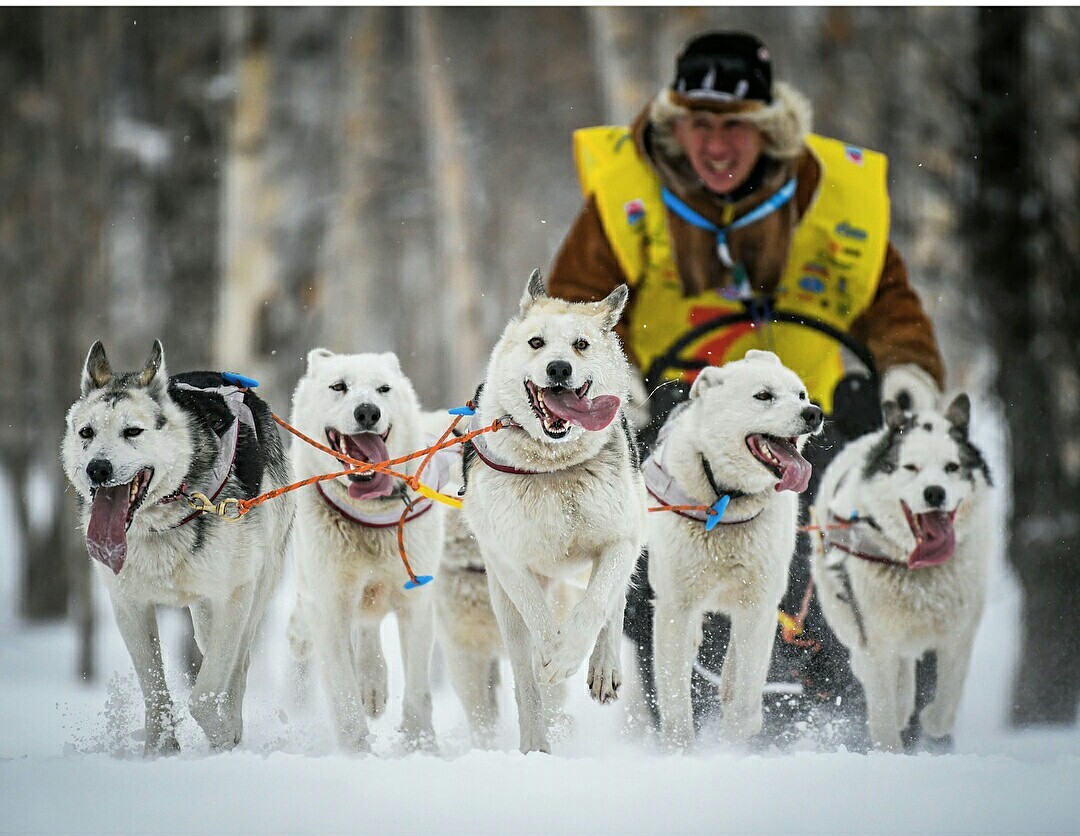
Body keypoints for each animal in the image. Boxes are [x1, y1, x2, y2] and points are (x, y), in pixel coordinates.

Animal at [61, 343, 293, 756]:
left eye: (132, 431)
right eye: (87, 432)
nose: (97, 468)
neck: (162, 522)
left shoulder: (234, 595)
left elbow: (205, 696)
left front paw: (222, 739)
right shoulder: (129, 605)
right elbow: (155, 691)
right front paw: (161, 751)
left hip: (250, 596)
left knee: (238, 664)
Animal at [287, 349, 447, 756]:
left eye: (383, 389)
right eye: (338, 386)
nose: (367, 412)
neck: (369, 515)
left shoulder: (417, 604)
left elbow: (418, 692)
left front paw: (420, 747)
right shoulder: (329, 607)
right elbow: (343, 696)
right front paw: (358, 754)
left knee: (367, 627)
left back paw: (373, 683)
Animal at [460, 272, 643, 756]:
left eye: (580, 344)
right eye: (536, 342)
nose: (558, 368)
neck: (554, 468)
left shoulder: (620, 540)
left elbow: (597, 604)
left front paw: (570, 655)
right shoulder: (506, 557)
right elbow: (538, 616)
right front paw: (552, 655)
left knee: (614, 601)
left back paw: (603, 667)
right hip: (502, 602)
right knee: (525, 679)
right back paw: (535, 745)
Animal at [643, 349, 820, 751]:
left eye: (800, 394)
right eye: (764, 396)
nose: (814, 413)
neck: (726, 501)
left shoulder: (759, 607)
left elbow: (745, 692)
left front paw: (736, 743)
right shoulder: (674, 608)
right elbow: (675, 698)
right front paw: (680, 749)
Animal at [812, 393, 993, 751]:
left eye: (952, 467)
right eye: (911, 467)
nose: (935, 492)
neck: (919, 567)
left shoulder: (959, 632)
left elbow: (948, 696)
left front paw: (933, 720)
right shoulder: (876, 639)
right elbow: (883, 711)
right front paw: (889, 749)